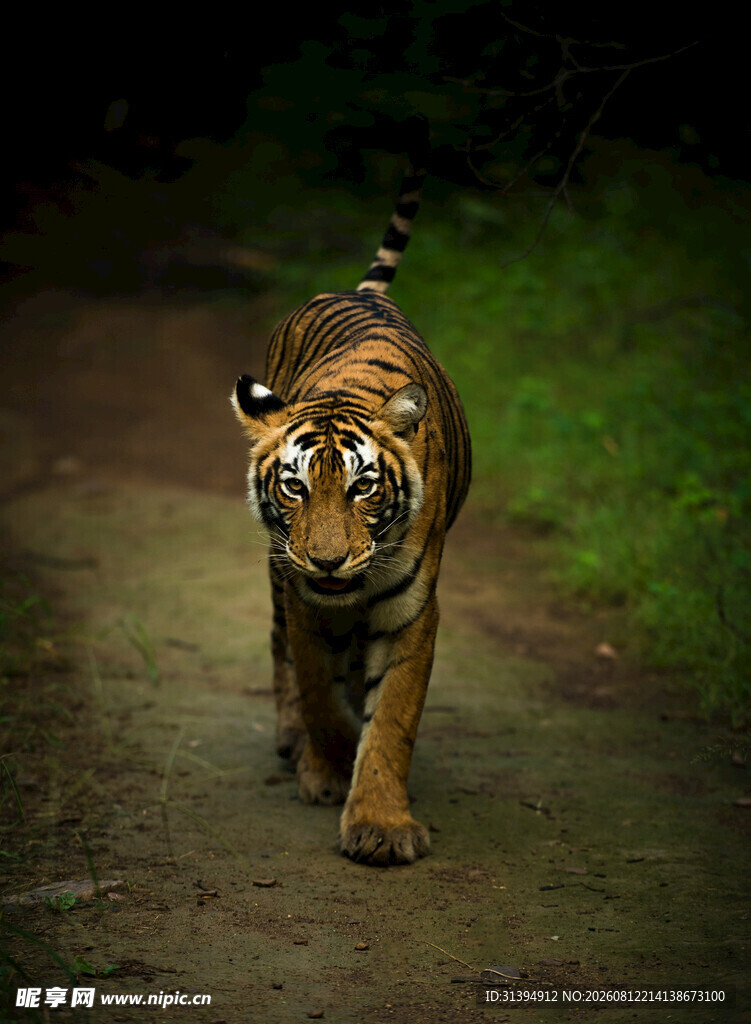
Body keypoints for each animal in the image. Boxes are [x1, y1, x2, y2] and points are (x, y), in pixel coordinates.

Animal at [231, 127, 471, 865]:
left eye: (364, 488)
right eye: (295, 487)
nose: (329, 562)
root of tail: (356, 289)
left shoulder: (411, 611)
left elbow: (391, 717)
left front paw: (381, 825)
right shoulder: (303, 597)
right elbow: (317, 689)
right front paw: (328, 762)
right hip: (276, 573)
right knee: (281, 650)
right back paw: (295, 744)